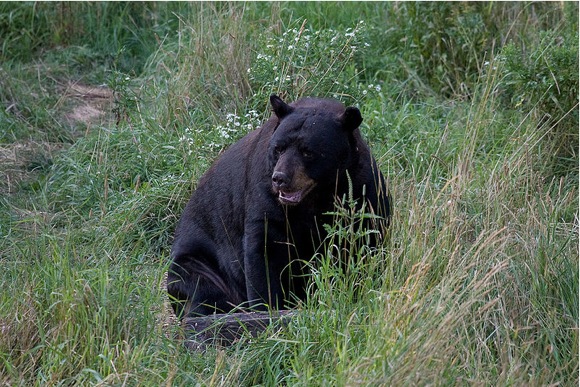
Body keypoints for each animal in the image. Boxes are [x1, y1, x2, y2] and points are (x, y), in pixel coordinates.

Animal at [170, 94, 392, 318]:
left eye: (308, 152)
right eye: (278, 148)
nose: (280, 178)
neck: (317, 196)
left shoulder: (362, 189)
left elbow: (367, 241)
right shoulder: (264, 194)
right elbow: (264, 250)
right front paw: (267, 308)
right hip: (198, 264)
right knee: (202, 288)